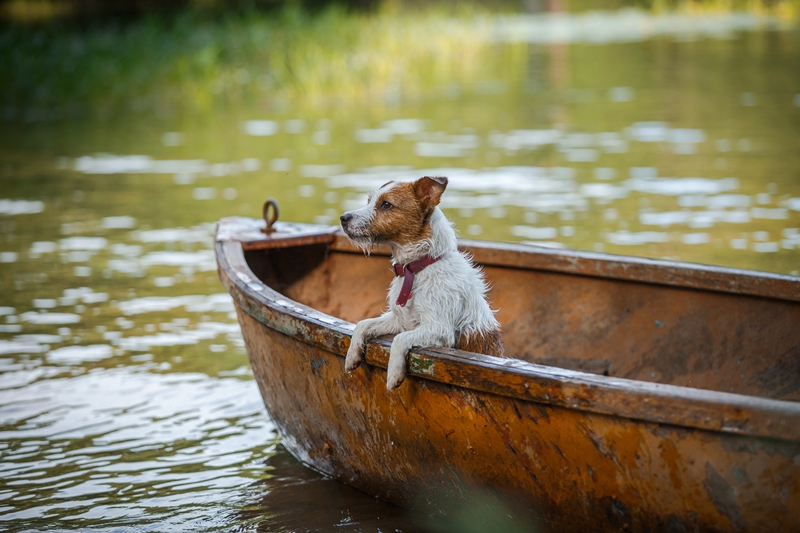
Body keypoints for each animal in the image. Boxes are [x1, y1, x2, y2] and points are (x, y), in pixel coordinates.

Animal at [340, 177, 504, 388]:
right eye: (369, 200)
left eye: (386, 204)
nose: (343, 218)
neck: (415, 269)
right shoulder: (398, 320)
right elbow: (363, 324)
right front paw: (352, 355)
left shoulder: (439, 329)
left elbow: (399, 339)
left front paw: (394, 374)